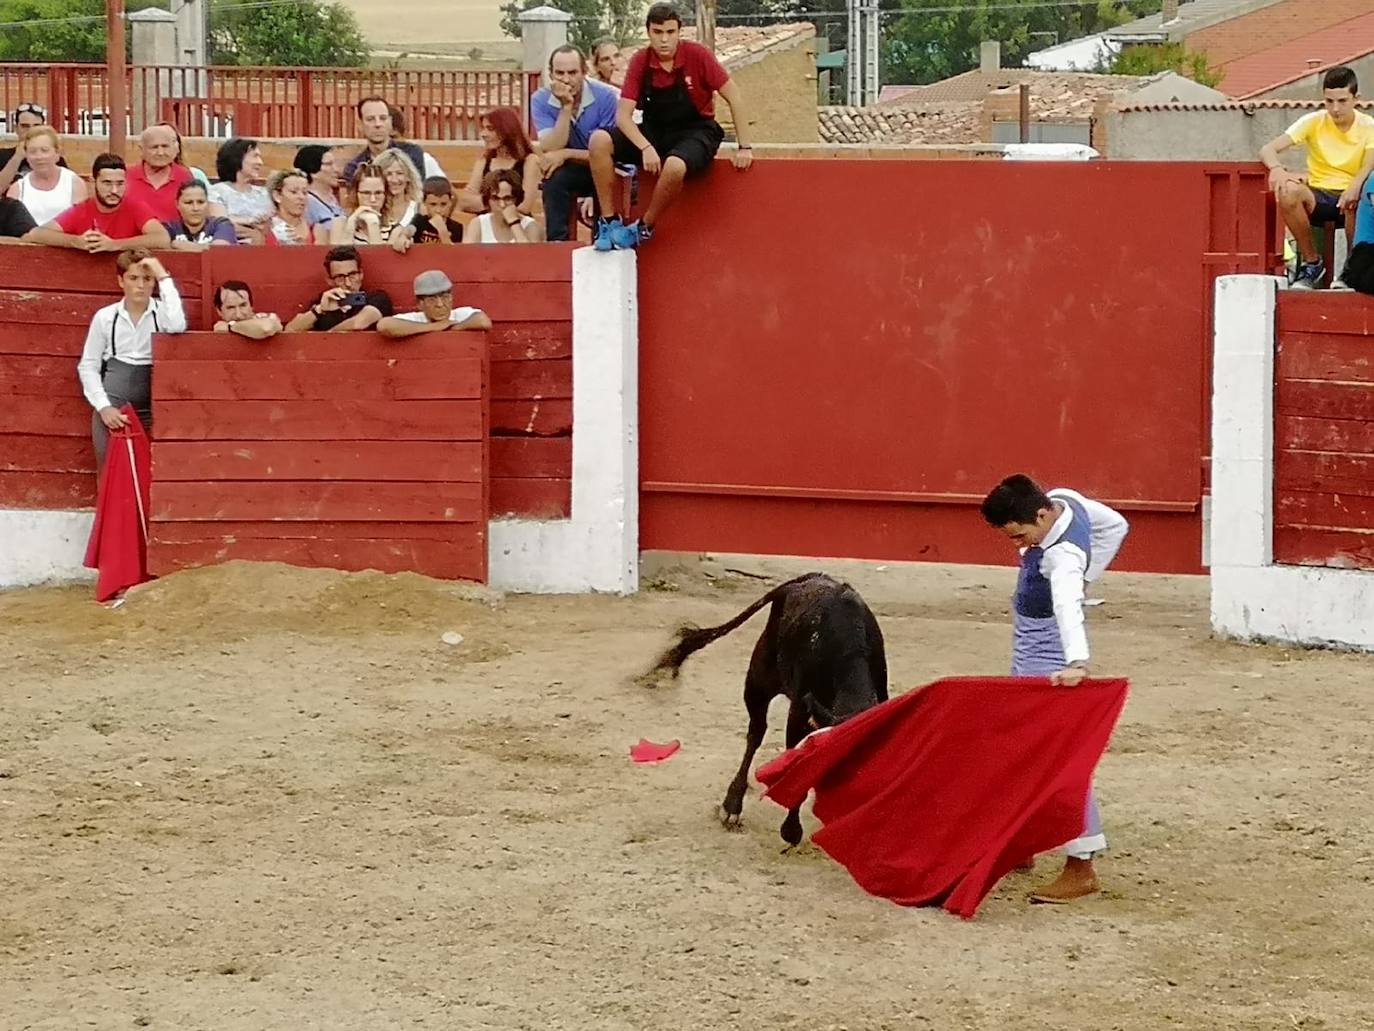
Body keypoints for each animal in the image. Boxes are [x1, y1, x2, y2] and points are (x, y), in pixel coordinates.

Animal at [645, 574, 890, 846]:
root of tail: (809, 578)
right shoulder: (798, 713)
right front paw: (791, 831)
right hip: (757, 683)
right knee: (755, 733)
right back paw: (732, 806)